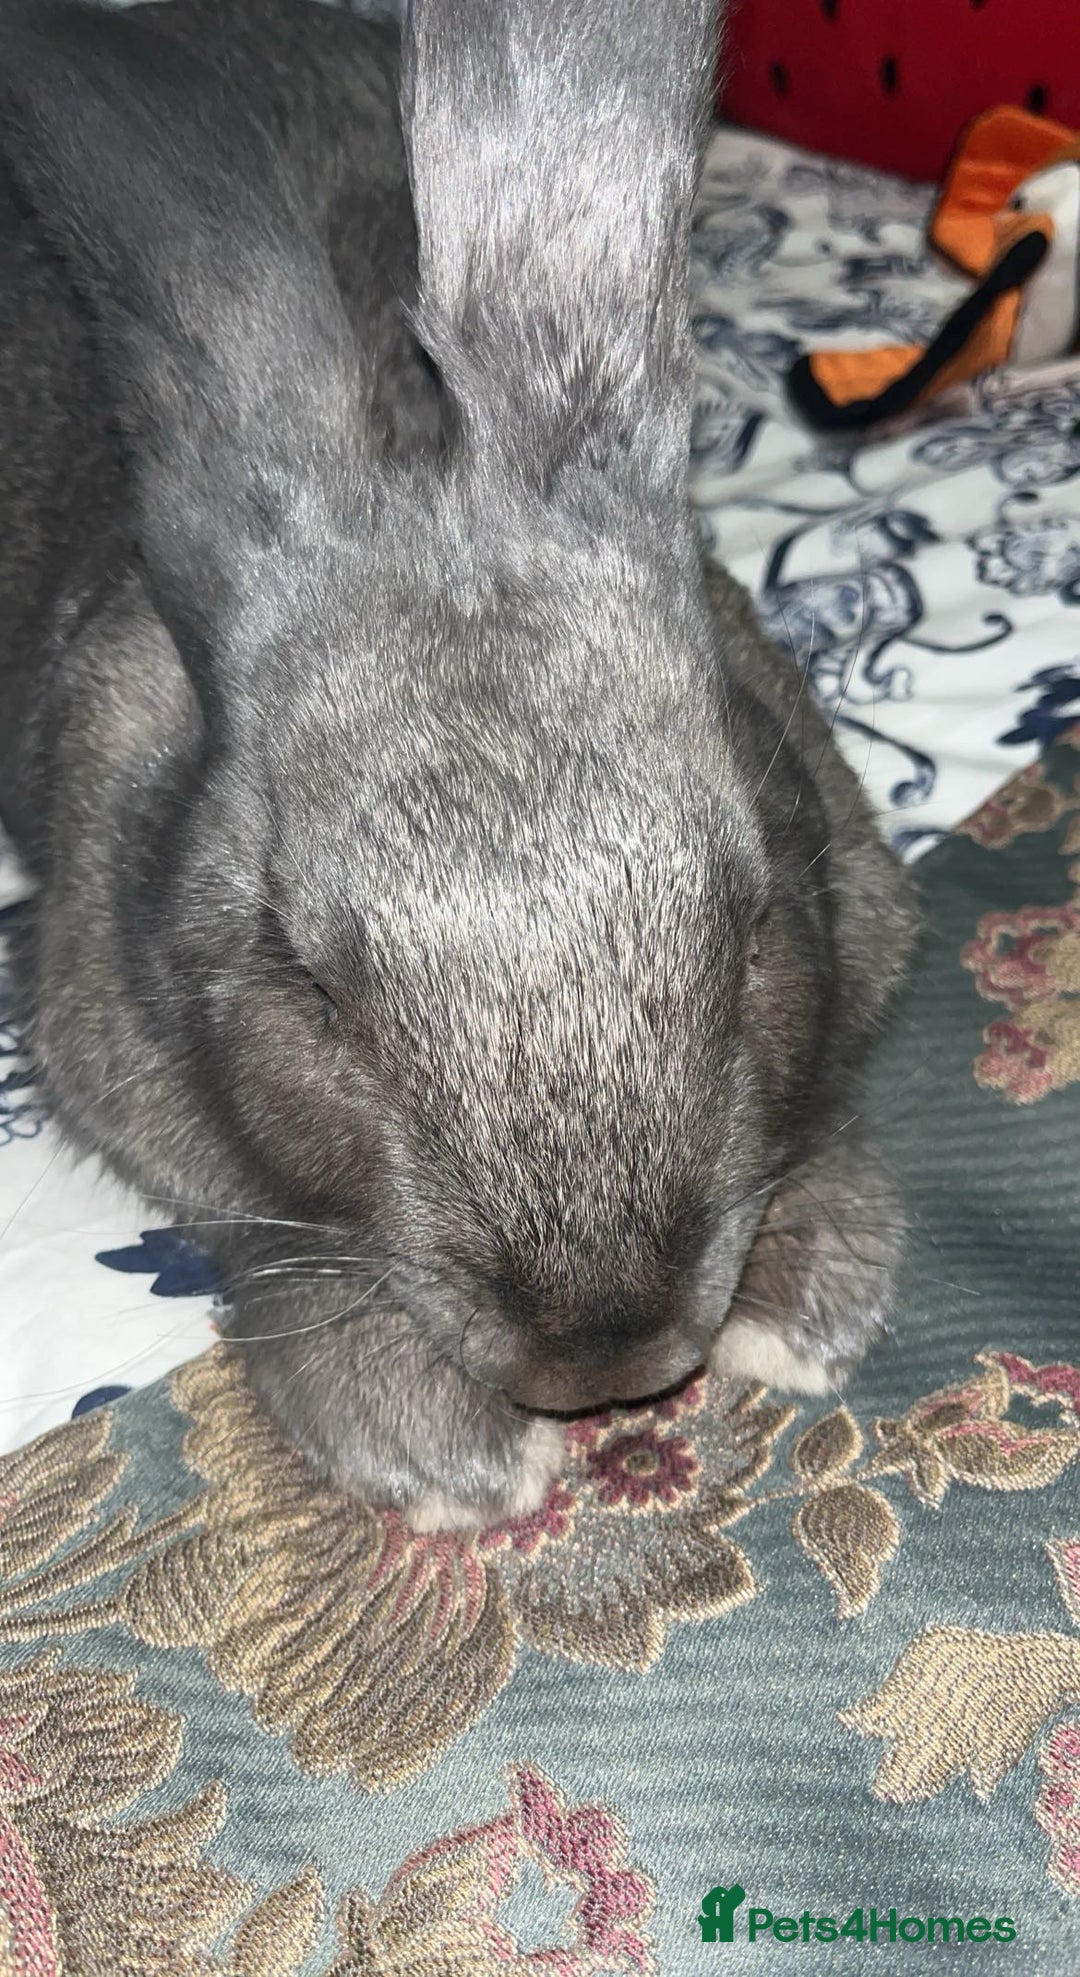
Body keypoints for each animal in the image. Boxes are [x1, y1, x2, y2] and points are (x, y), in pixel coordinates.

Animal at [0, 0, 918, 1531]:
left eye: (752, 933)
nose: (606, 1354)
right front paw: (443, 1458)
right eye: (308, 990)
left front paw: (812, 1306)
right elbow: (270, 1241)